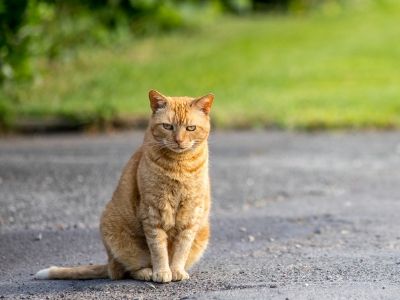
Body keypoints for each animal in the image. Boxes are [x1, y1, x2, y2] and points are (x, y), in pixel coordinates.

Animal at [36, 90, 214, 282]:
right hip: (119, 240)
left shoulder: (191, 213)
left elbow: (182, 247)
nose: (179, 140)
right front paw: (162, 272)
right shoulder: (152, 212)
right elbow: (158, 248)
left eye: (191, 128)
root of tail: (109, 263)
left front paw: (176, 270)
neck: (179, 165)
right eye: (167, 126)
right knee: (127, 270)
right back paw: (147, 272)